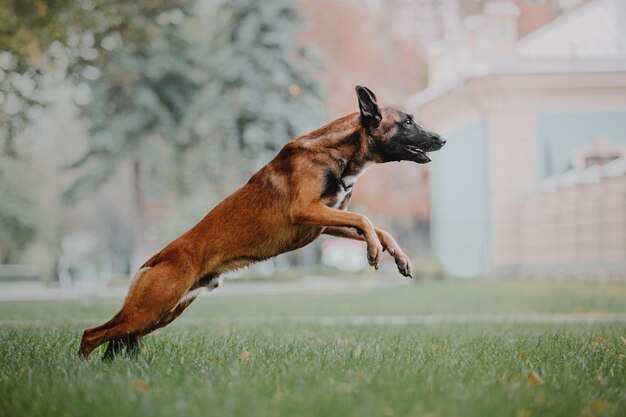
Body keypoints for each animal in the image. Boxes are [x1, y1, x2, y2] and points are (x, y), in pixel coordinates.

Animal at [78, 85, 444, 358]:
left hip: (162, 313)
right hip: (149, 310)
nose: (442, 139)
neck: (337, 150)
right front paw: (373, 252)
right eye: (408, 121)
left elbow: (377, 226)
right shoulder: (306, 210)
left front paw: (398, 256)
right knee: (90, 333)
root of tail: (153, 260)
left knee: (115, 338)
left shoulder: (327, 222)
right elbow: (365, 218)